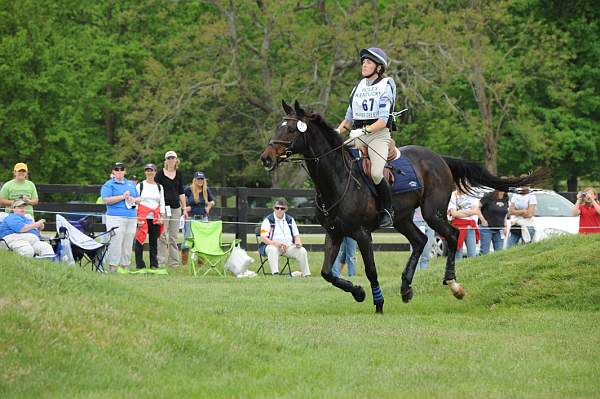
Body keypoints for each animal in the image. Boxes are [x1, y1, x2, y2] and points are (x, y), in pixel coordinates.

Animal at [260, 101, 548, 316]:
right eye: (278, 127)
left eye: (291, 130)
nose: (266, 158)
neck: (338, 179)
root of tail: (439, 158)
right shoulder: (334, 233)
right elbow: (326, 273)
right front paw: (359, 292)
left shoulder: (362, 234)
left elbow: (371, 270)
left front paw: (377, 302)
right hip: (403, 218)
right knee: (420, 240)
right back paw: (406, 288)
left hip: (432, 213)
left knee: (452, 235)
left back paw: (453, 284)